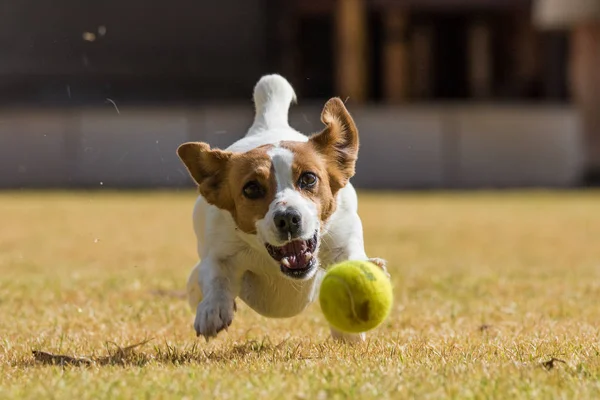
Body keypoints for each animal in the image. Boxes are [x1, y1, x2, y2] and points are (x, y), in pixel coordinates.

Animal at [176, 73, 386, 342]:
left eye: (309, 178)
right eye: (251, 189)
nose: (288, 219)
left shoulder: (343, 242)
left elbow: (349, 268)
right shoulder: (217, 251)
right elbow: (217, 278)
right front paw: (213, 308)